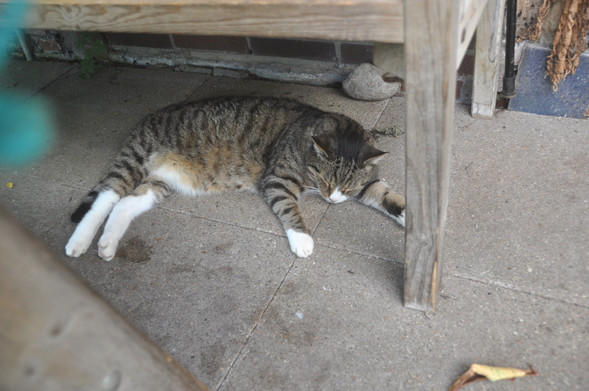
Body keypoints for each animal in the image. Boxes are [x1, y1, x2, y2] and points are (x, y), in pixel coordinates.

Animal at [65, 95, 404, 260]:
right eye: (326, 182)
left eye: (347, 186)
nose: (332, 199)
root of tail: (146, 119)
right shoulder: (277, 179)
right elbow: (289, 208)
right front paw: (302, 239)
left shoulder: (368, 183)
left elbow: (391, 198)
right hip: (135, 160)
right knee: (106, 197)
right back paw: (79, 241)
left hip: (160, 182)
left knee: (124, 204)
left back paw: (107, 245)